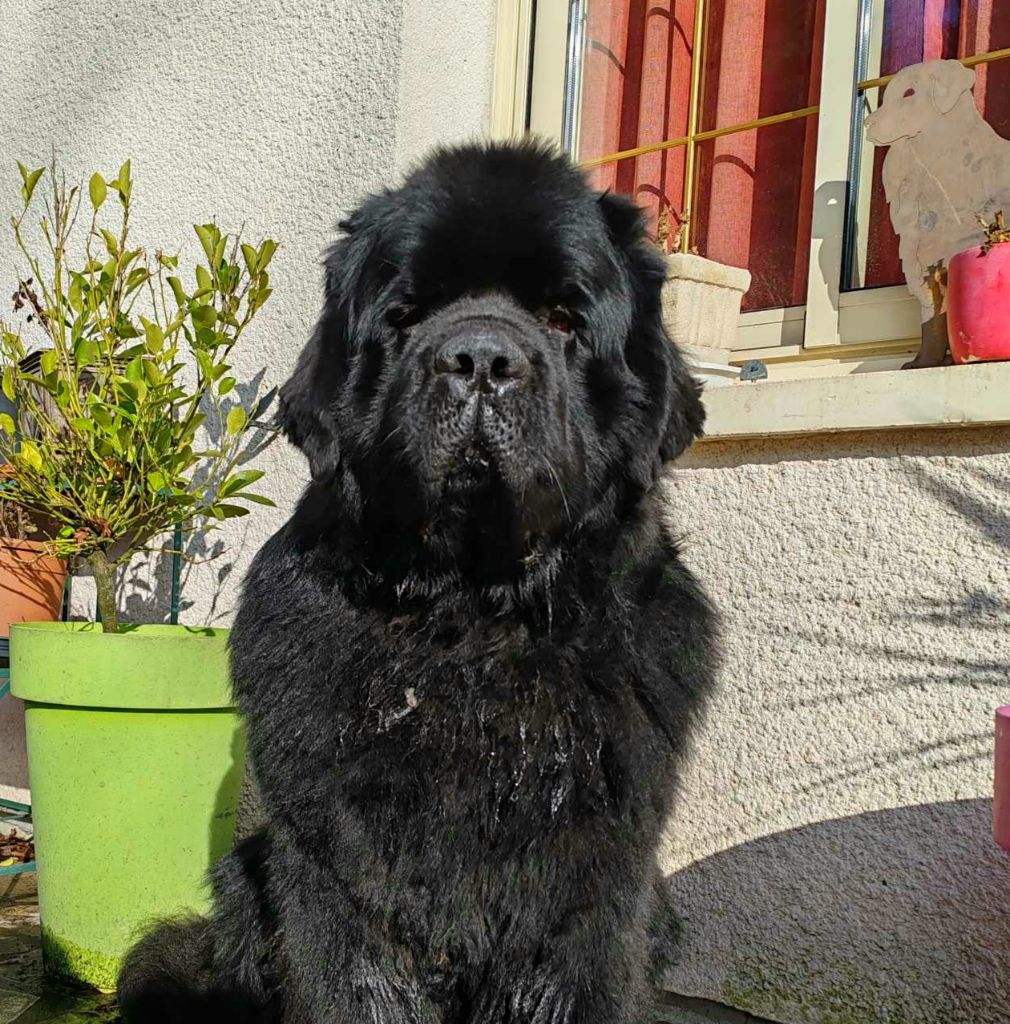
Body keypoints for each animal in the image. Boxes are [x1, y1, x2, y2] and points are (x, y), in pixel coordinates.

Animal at [118, 142, 712, 1024]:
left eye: (563, 318)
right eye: (405, 316)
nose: (480, 359)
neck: (470, 628)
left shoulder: (590, 891)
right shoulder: (339, 877)